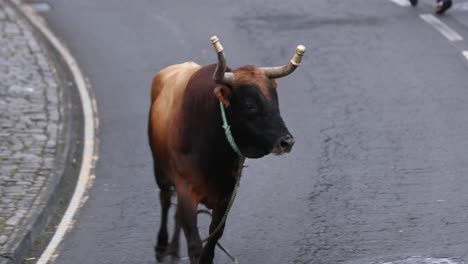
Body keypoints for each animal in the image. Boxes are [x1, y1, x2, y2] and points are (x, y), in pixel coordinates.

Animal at [148, 35, 306, 264]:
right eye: (250, 106)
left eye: (275, 102)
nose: (287, 142)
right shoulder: (186, 189)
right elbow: (194, 243)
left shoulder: (226, 195)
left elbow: (213, 239)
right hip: (159, 168)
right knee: (165, 199)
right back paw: (162, 245)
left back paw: (174, 249)